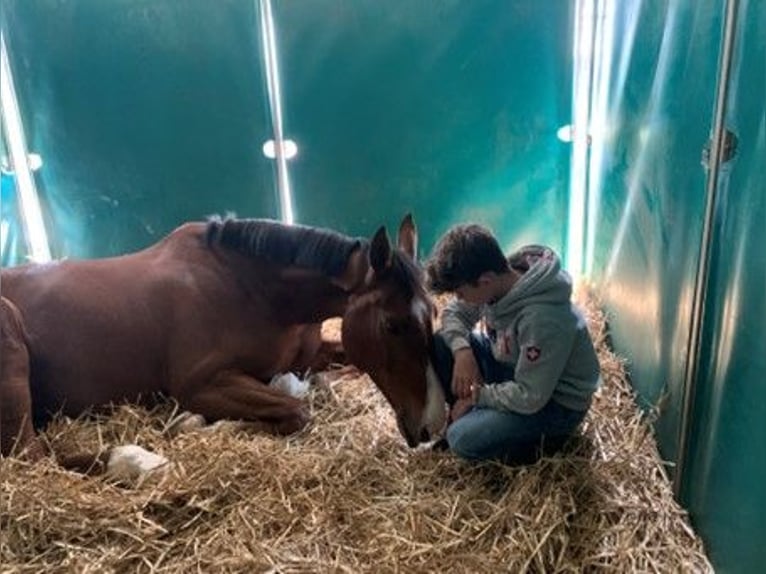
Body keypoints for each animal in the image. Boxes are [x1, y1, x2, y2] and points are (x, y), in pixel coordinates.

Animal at [0, 214, 448, 480]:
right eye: (392, 324)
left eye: (432, 314)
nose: (431, 425)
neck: (253, 290)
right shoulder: (200, 384)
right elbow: (297, 411)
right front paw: (196, 427)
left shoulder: (310, 354)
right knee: (29, 456)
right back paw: (133, 460)